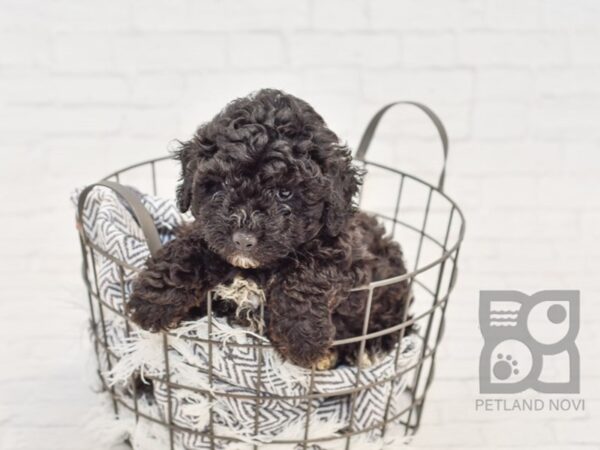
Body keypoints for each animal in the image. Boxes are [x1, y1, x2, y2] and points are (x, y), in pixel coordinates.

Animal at [129, 89, 412, 370]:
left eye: (284, 193)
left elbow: (309, 273)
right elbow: (191, 247)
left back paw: (369, 348)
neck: (254, 270)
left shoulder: (346, 249)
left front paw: (303, 337)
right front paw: (153, 300)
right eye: (223, 184)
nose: (243, 240)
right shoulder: (207, 230)